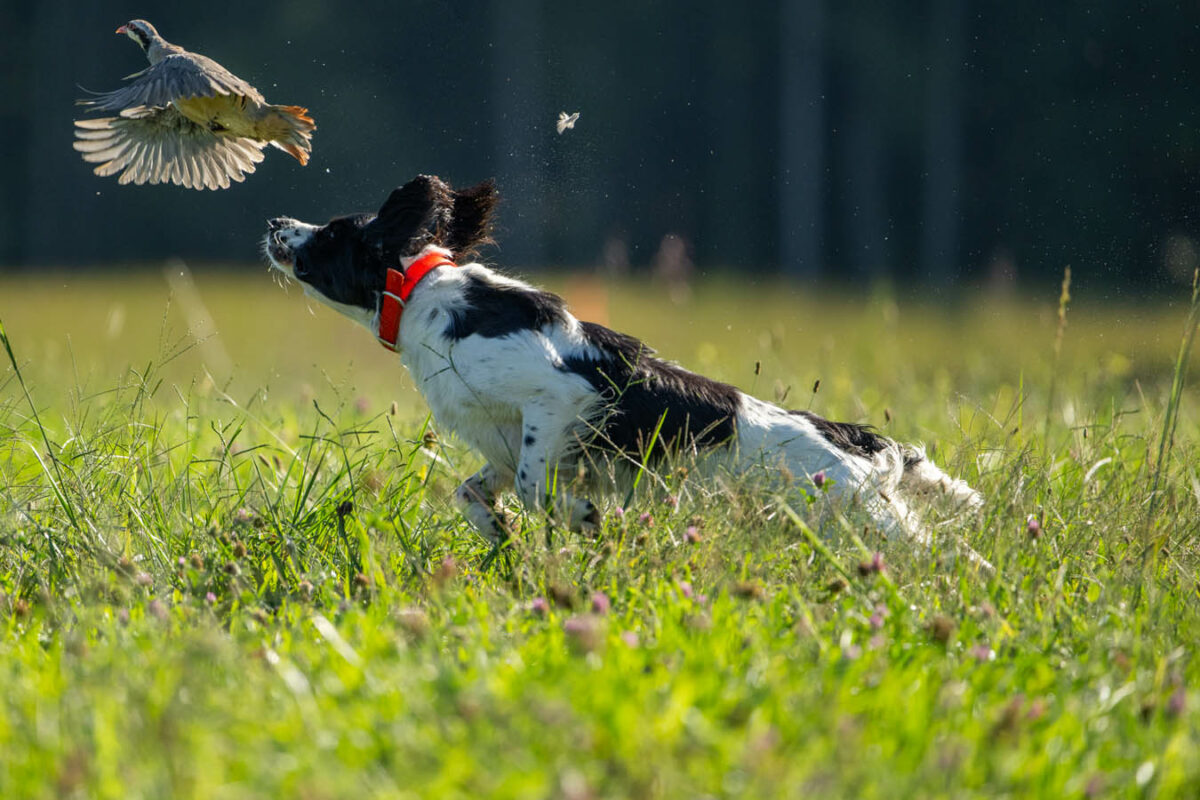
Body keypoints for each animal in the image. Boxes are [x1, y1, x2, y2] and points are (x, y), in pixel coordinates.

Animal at [265, 172, 984, 554]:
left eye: (332, 234)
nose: (274, 222)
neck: (425, 297)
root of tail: (858, 439)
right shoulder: (499, 439)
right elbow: (473, 491)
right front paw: (500, 533)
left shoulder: (555, 399)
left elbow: (534, 485)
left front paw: (583, 517)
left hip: (859, 518)